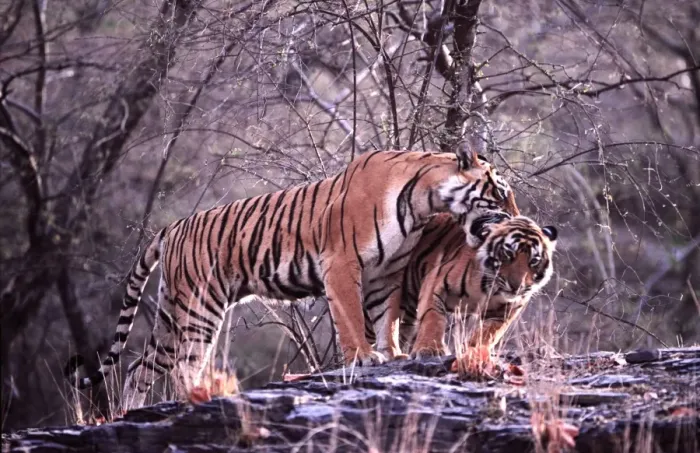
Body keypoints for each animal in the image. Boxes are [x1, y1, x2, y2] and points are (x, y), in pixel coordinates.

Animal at [64, 149, 519, 410]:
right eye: (500, 192)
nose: (516, 215)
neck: (423, 200)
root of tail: (172, 226)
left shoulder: (386, 273)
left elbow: (385, 319)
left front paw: (392, 354)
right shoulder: (342, 265)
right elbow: (352, 318)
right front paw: (364, 358)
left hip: (171, 315)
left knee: (142, 366)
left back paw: (135, 411)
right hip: (197, 308)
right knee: (178, 363)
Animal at [365, 210, 557, 360]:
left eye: (534, 261)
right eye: (508, 253)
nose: (516, 286)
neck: (490, 289)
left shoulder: (505, 311)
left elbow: (489, 333)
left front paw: (474, 351)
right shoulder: (435, 282)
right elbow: (433, 317)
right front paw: (429, 349)